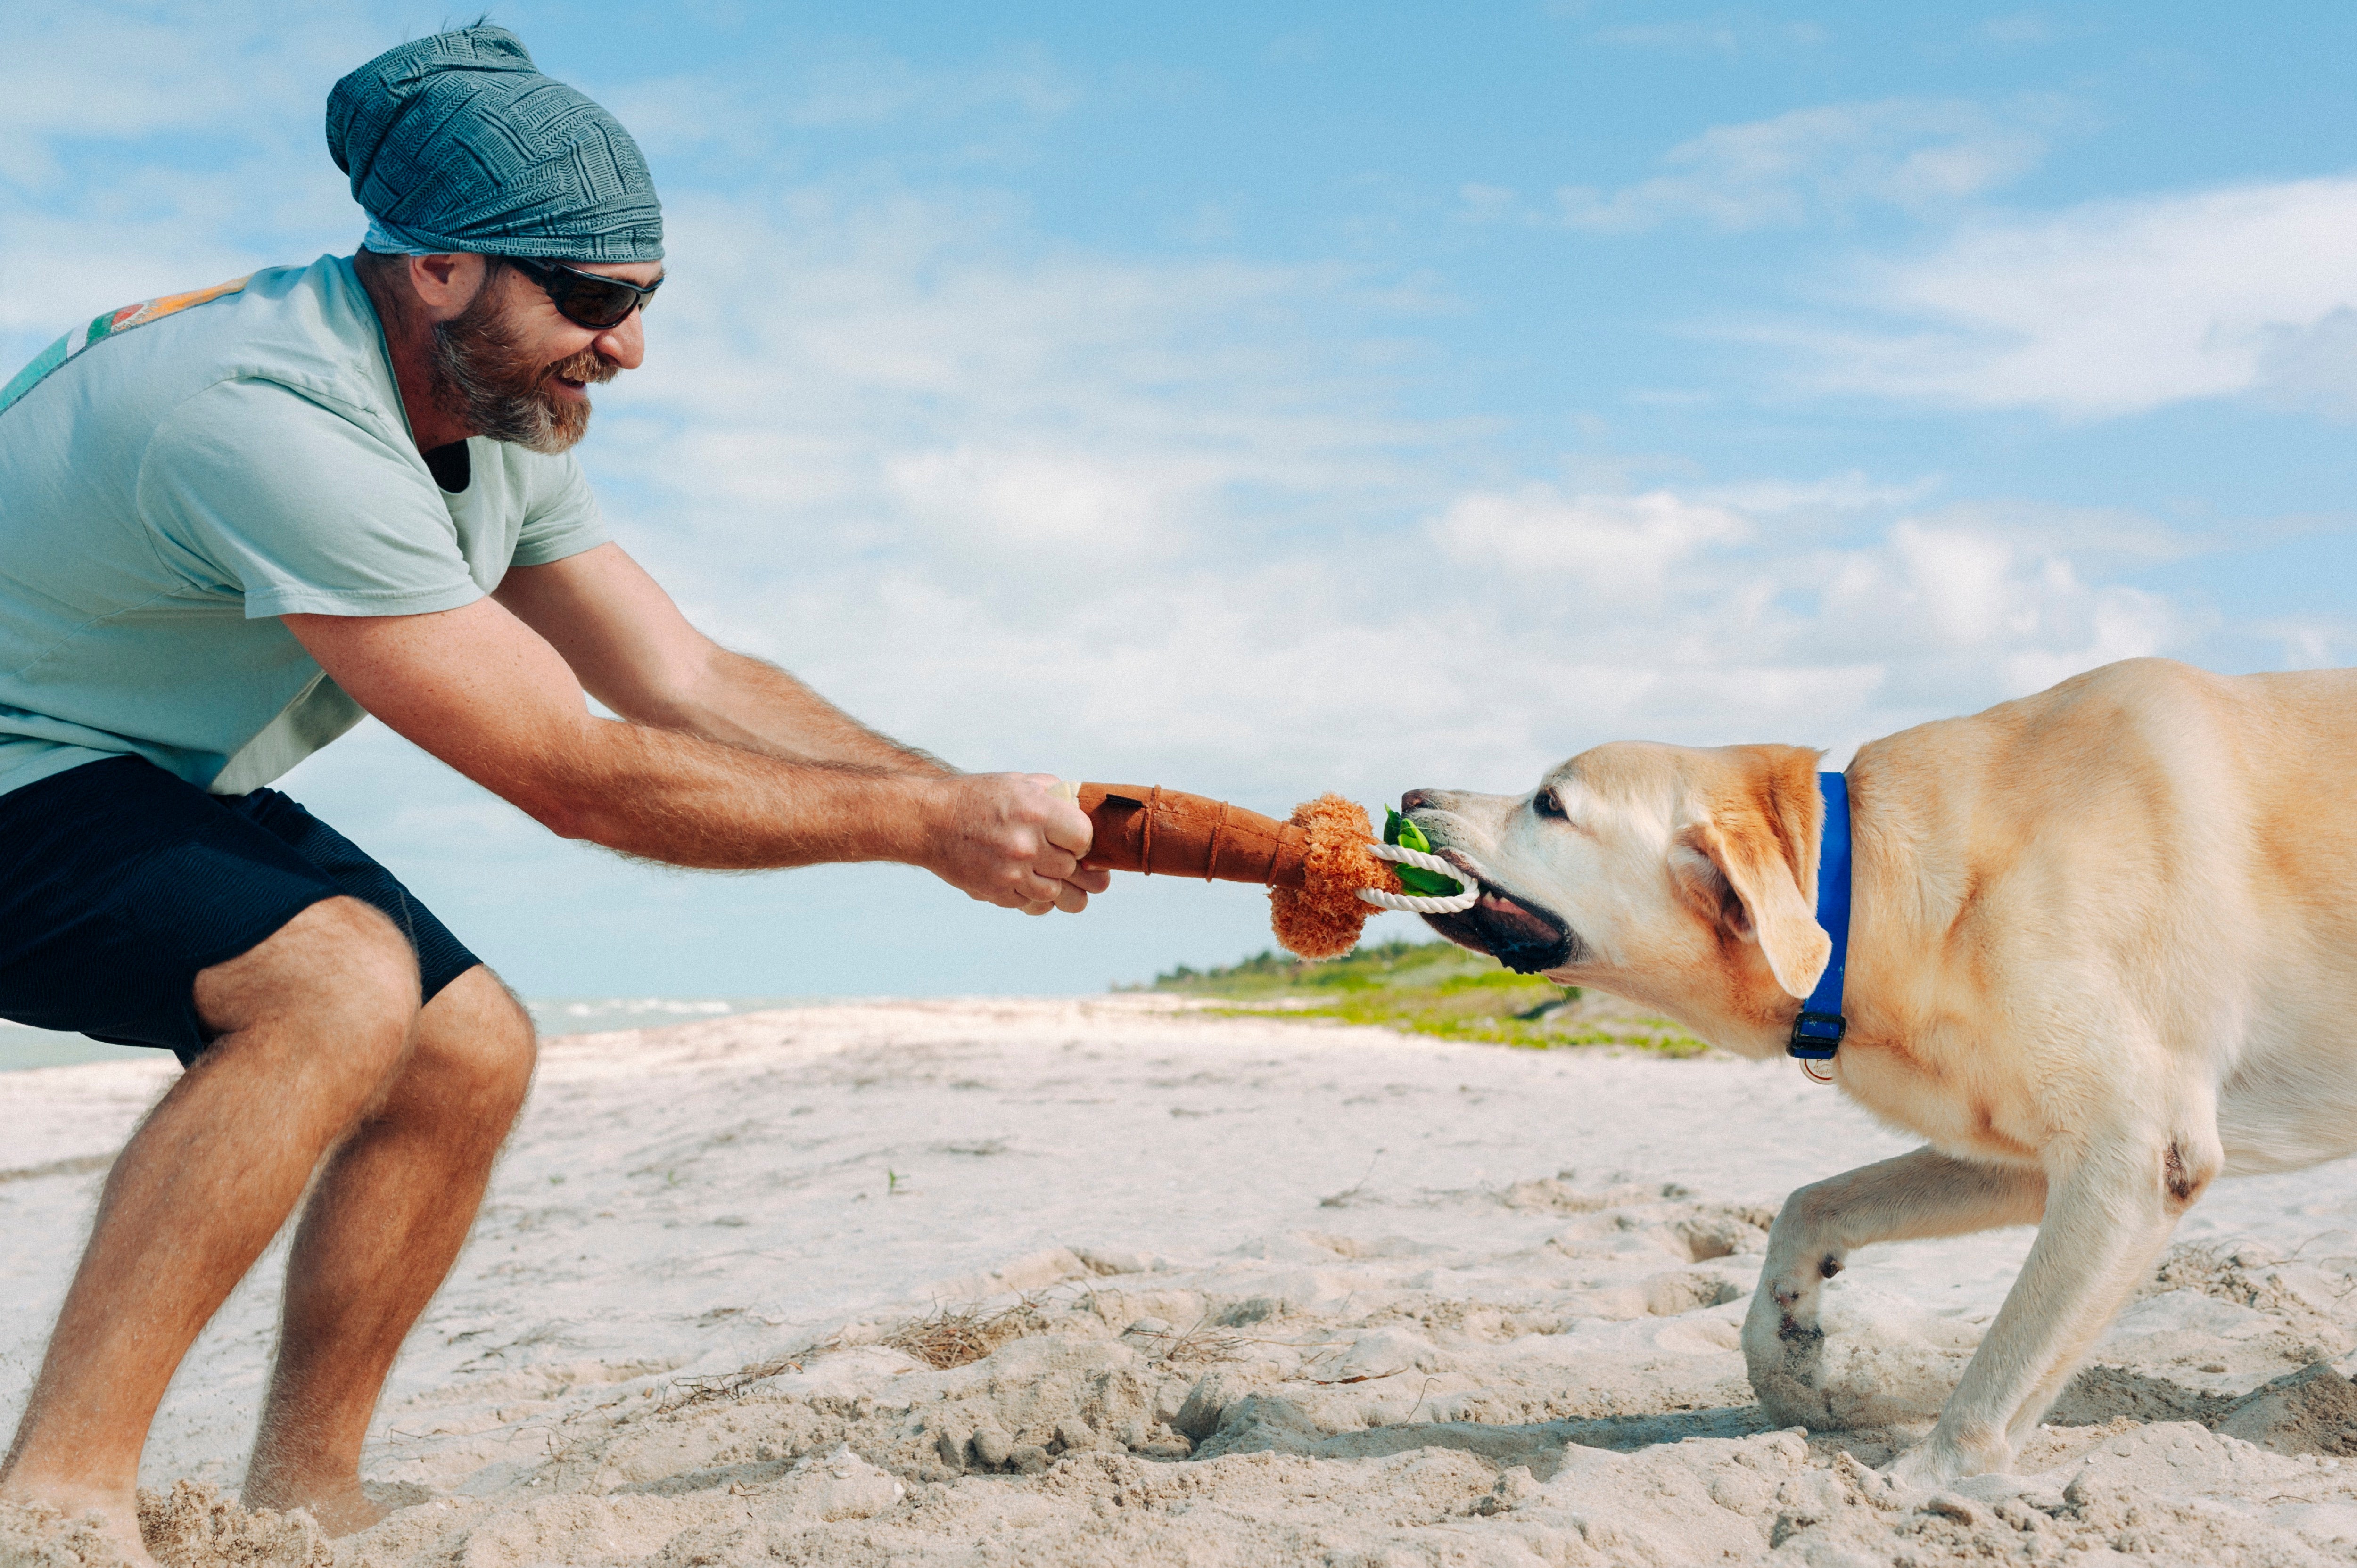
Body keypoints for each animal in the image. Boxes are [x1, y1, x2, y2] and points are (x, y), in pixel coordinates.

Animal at [1395, 655, 2357, 1480]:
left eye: (1549, 803)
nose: (1407, 791)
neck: (1870, 887)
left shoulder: (2139, 1157)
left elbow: (2006, 1362)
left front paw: (1931, 1478)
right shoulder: (2028, 1153)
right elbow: (1808, 1203)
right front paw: (1787, 1355)